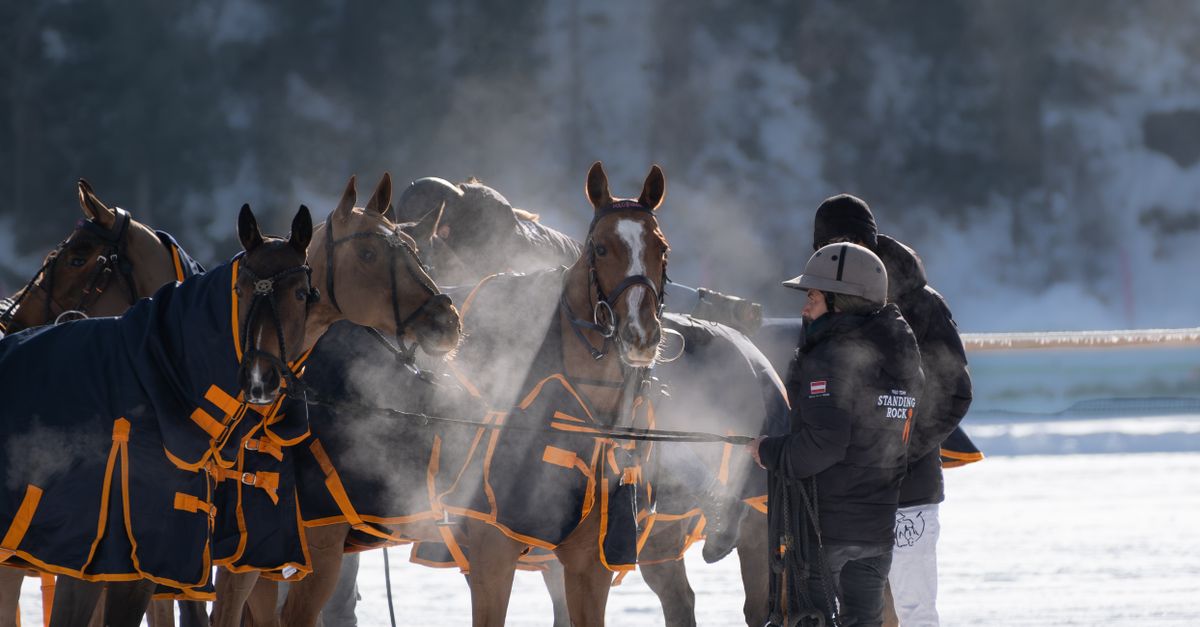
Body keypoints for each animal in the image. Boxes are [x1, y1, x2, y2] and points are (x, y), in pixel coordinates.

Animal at [396, 174, 785, 626]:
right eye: (600, 248)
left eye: (662, 248)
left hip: (757, 533)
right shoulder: (503, 554)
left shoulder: (583, 559)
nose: (640, 335)